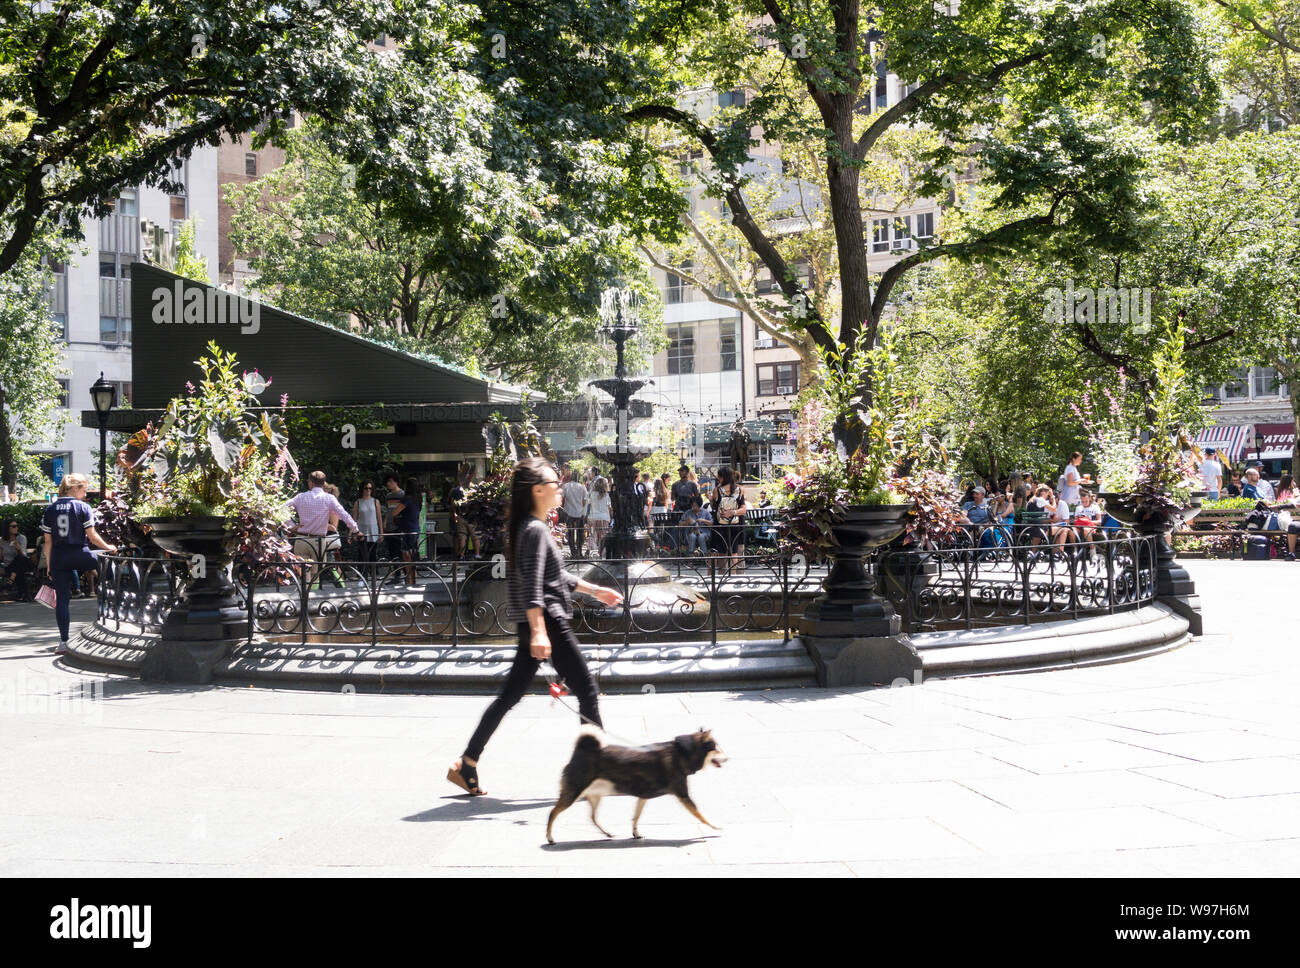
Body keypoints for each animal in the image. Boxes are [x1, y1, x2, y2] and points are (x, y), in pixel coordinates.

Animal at [546, 722, 728, 841]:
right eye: (717, 748)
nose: (728, 758)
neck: (683, 753)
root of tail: (580, 750)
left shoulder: (643, 796)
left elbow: (636, 817)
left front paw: (635, 833)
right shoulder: (683, 795)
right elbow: (701, 815)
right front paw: (715, 826)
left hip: (595, 796)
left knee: (593, 818)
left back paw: (607, 833)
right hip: (572, 793)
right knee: (553, 812)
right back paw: (549, 837)